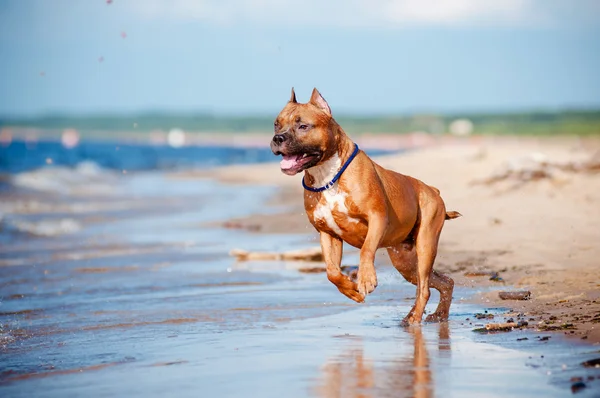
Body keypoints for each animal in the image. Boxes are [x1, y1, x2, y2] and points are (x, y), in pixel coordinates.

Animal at [270, 88, 462, 324]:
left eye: (303, 126)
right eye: (276, 124)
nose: (277, 137)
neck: (328, 175)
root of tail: (433, 190)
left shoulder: (377, 218)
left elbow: (366, 249)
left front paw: (365, 279)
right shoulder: (327, 233)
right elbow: (331, 272)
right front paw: (351, 290)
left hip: (426, 245)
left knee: (425, 288)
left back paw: (415, 318)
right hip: (405, 262)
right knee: (443, 282)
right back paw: (435, 315)